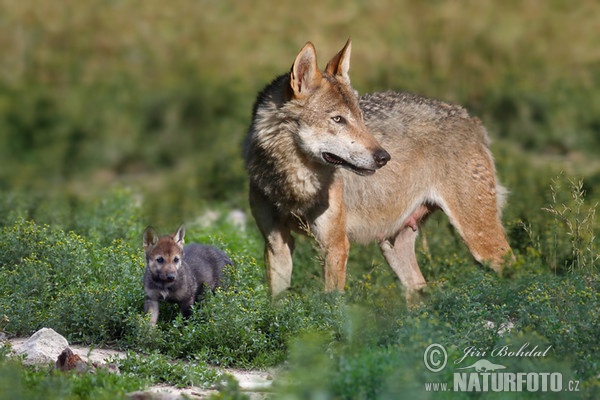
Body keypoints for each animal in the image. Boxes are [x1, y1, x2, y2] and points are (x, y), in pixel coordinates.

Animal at [244, 39, 510, 300]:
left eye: (361, 118)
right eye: (338, 119)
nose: (384, 157)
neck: (294, 184)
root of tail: (471, 118)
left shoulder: (335, 245)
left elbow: (330, 305)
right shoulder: (275, 244)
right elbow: (277, 303)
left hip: (480, 242)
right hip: (393, 246)